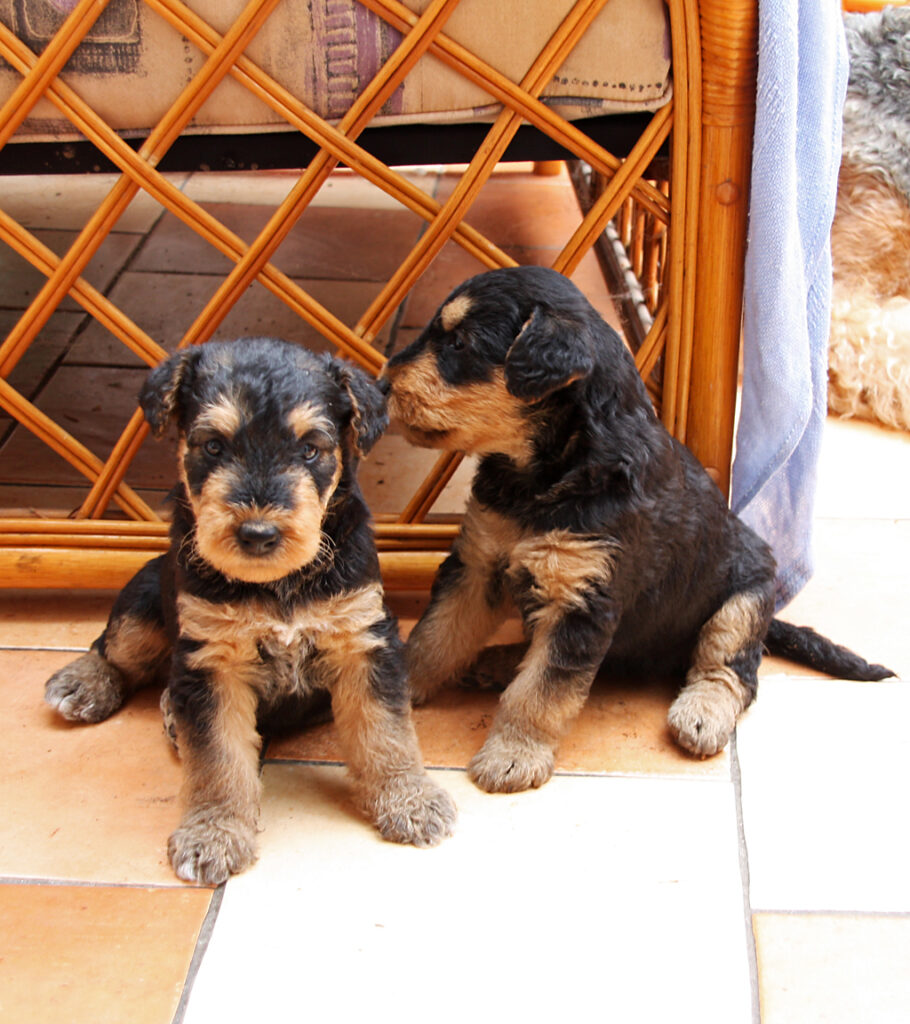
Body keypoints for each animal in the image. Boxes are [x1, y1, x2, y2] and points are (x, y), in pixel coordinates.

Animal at [44, 339, 454, 884]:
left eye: (310, 448)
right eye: (214, 446)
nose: (258, 534)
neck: (278, 584)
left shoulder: (364, 639)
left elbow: (385, 732)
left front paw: (408, 799)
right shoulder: (210, 661)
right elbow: (218, 760)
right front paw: (213, 834)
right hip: (144, 603)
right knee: (111, 647)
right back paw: (84, 684)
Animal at [380, 268, 888, 794]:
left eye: (459, 343)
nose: (380, 386)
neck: (549, 473)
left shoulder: (585, 598)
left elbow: (543, 692)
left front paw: (512, 756)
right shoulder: (478, 565)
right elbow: (435, 638)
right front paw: (399, 690)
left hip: (745, 598)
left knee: (729, 671)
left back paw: (701, 715)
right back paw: (499, 661)